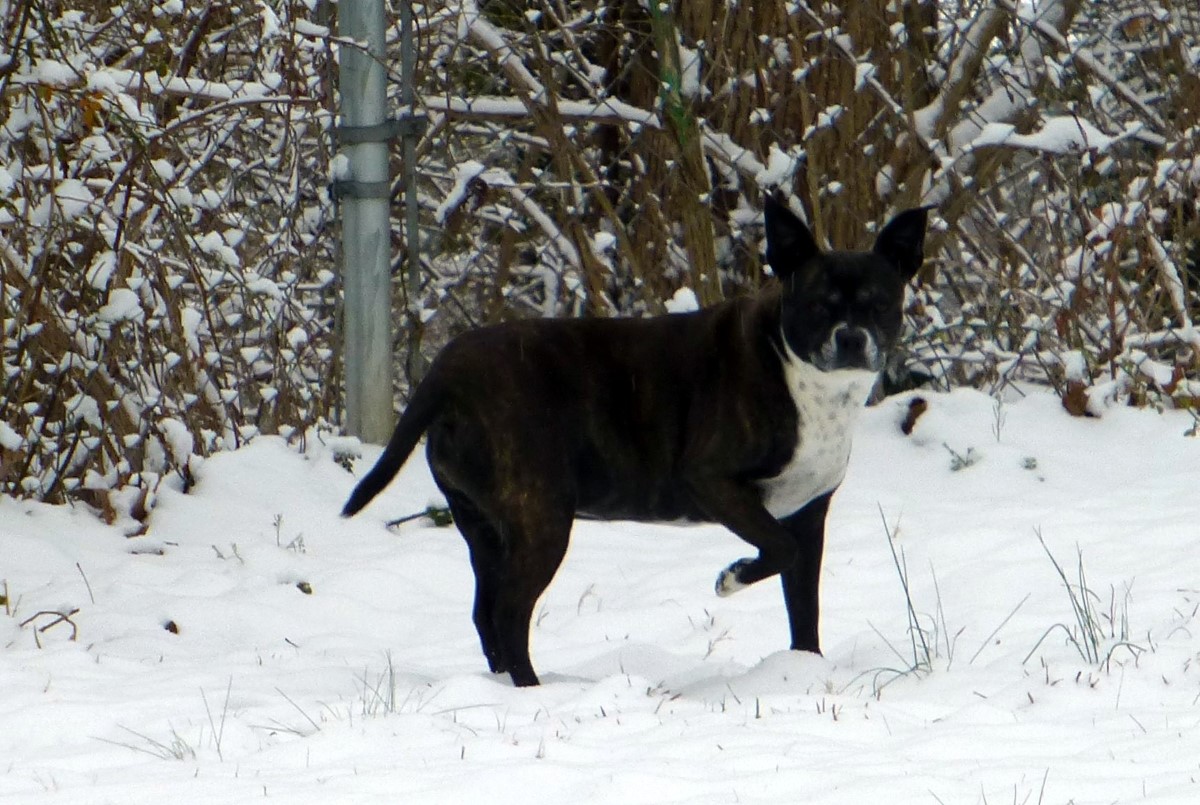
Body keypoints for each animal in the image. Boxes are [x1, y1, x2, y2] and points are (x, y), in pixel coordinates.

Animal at [343, 201, 931, 686]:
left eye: (880, 304)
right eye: (817, 305)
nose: (851, 338)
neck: (804, 379)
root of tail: (448, 370)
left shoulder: (809, 513)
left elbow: (804, 605)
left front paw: (804, 671)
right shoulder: (714, 482)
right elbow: (778, 550)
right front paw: (731, 578)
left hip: (484, 527)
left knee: (486, 612)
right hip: (542, 519)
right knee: (510, 613)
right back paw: (533, 692)